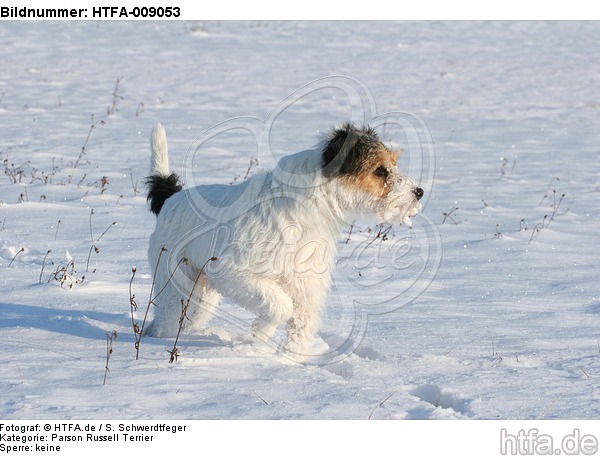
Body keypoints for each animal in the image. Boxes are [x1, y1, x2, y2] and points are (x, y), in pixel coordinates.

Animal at [145, 122, 422, 360]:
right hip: (176, 286)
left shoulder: (307, 288)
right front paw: (260, 332)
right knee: (166, 317)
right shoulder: (235, 272)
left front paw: (288, 361)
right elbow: (280, 306)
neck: (310, 205)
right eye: (380, 170)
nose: (418, 192)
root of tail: (171, 198)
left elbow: (300, 328)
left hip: (202, 297)